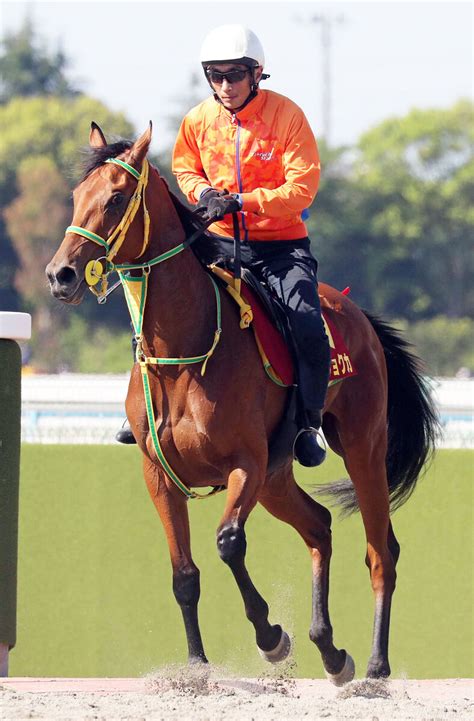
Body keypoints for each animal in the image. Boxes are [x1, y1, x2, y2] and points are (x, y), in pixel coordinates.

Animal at [46, 121, 438, 684]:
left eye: (117, 198)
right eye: (77, 196)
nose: (61, 276)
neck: (183, 354)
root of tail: (357, 313)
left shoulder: (245, 464)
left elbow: (228, 542)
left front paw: (272, 638)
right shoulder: (159, 474)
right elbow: (183, 574)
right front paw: (196, 664)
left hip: (361, 446)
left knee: (381, 549)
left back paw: (376, 666)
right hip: (277, 478)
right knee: (319, 525)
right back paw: (330, 650)